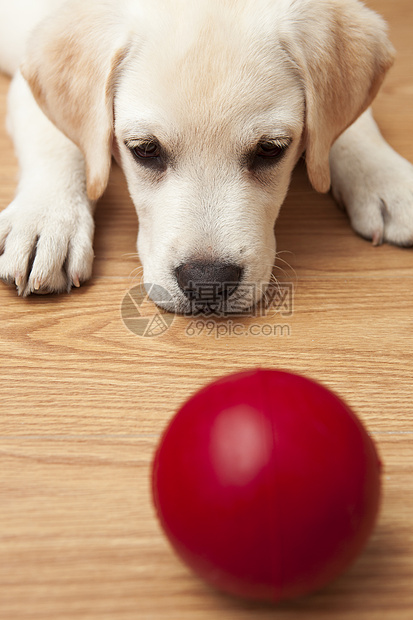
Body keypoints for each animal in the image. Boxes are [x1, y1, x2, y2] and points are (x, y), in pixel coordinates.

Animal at [0, 0, 410, 312]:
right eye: (145, 149)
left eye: (270, 149)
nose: (207, 283)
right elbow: (57, 140)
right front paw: (45, 220)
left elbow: (352, 127)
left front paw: (386, 178)